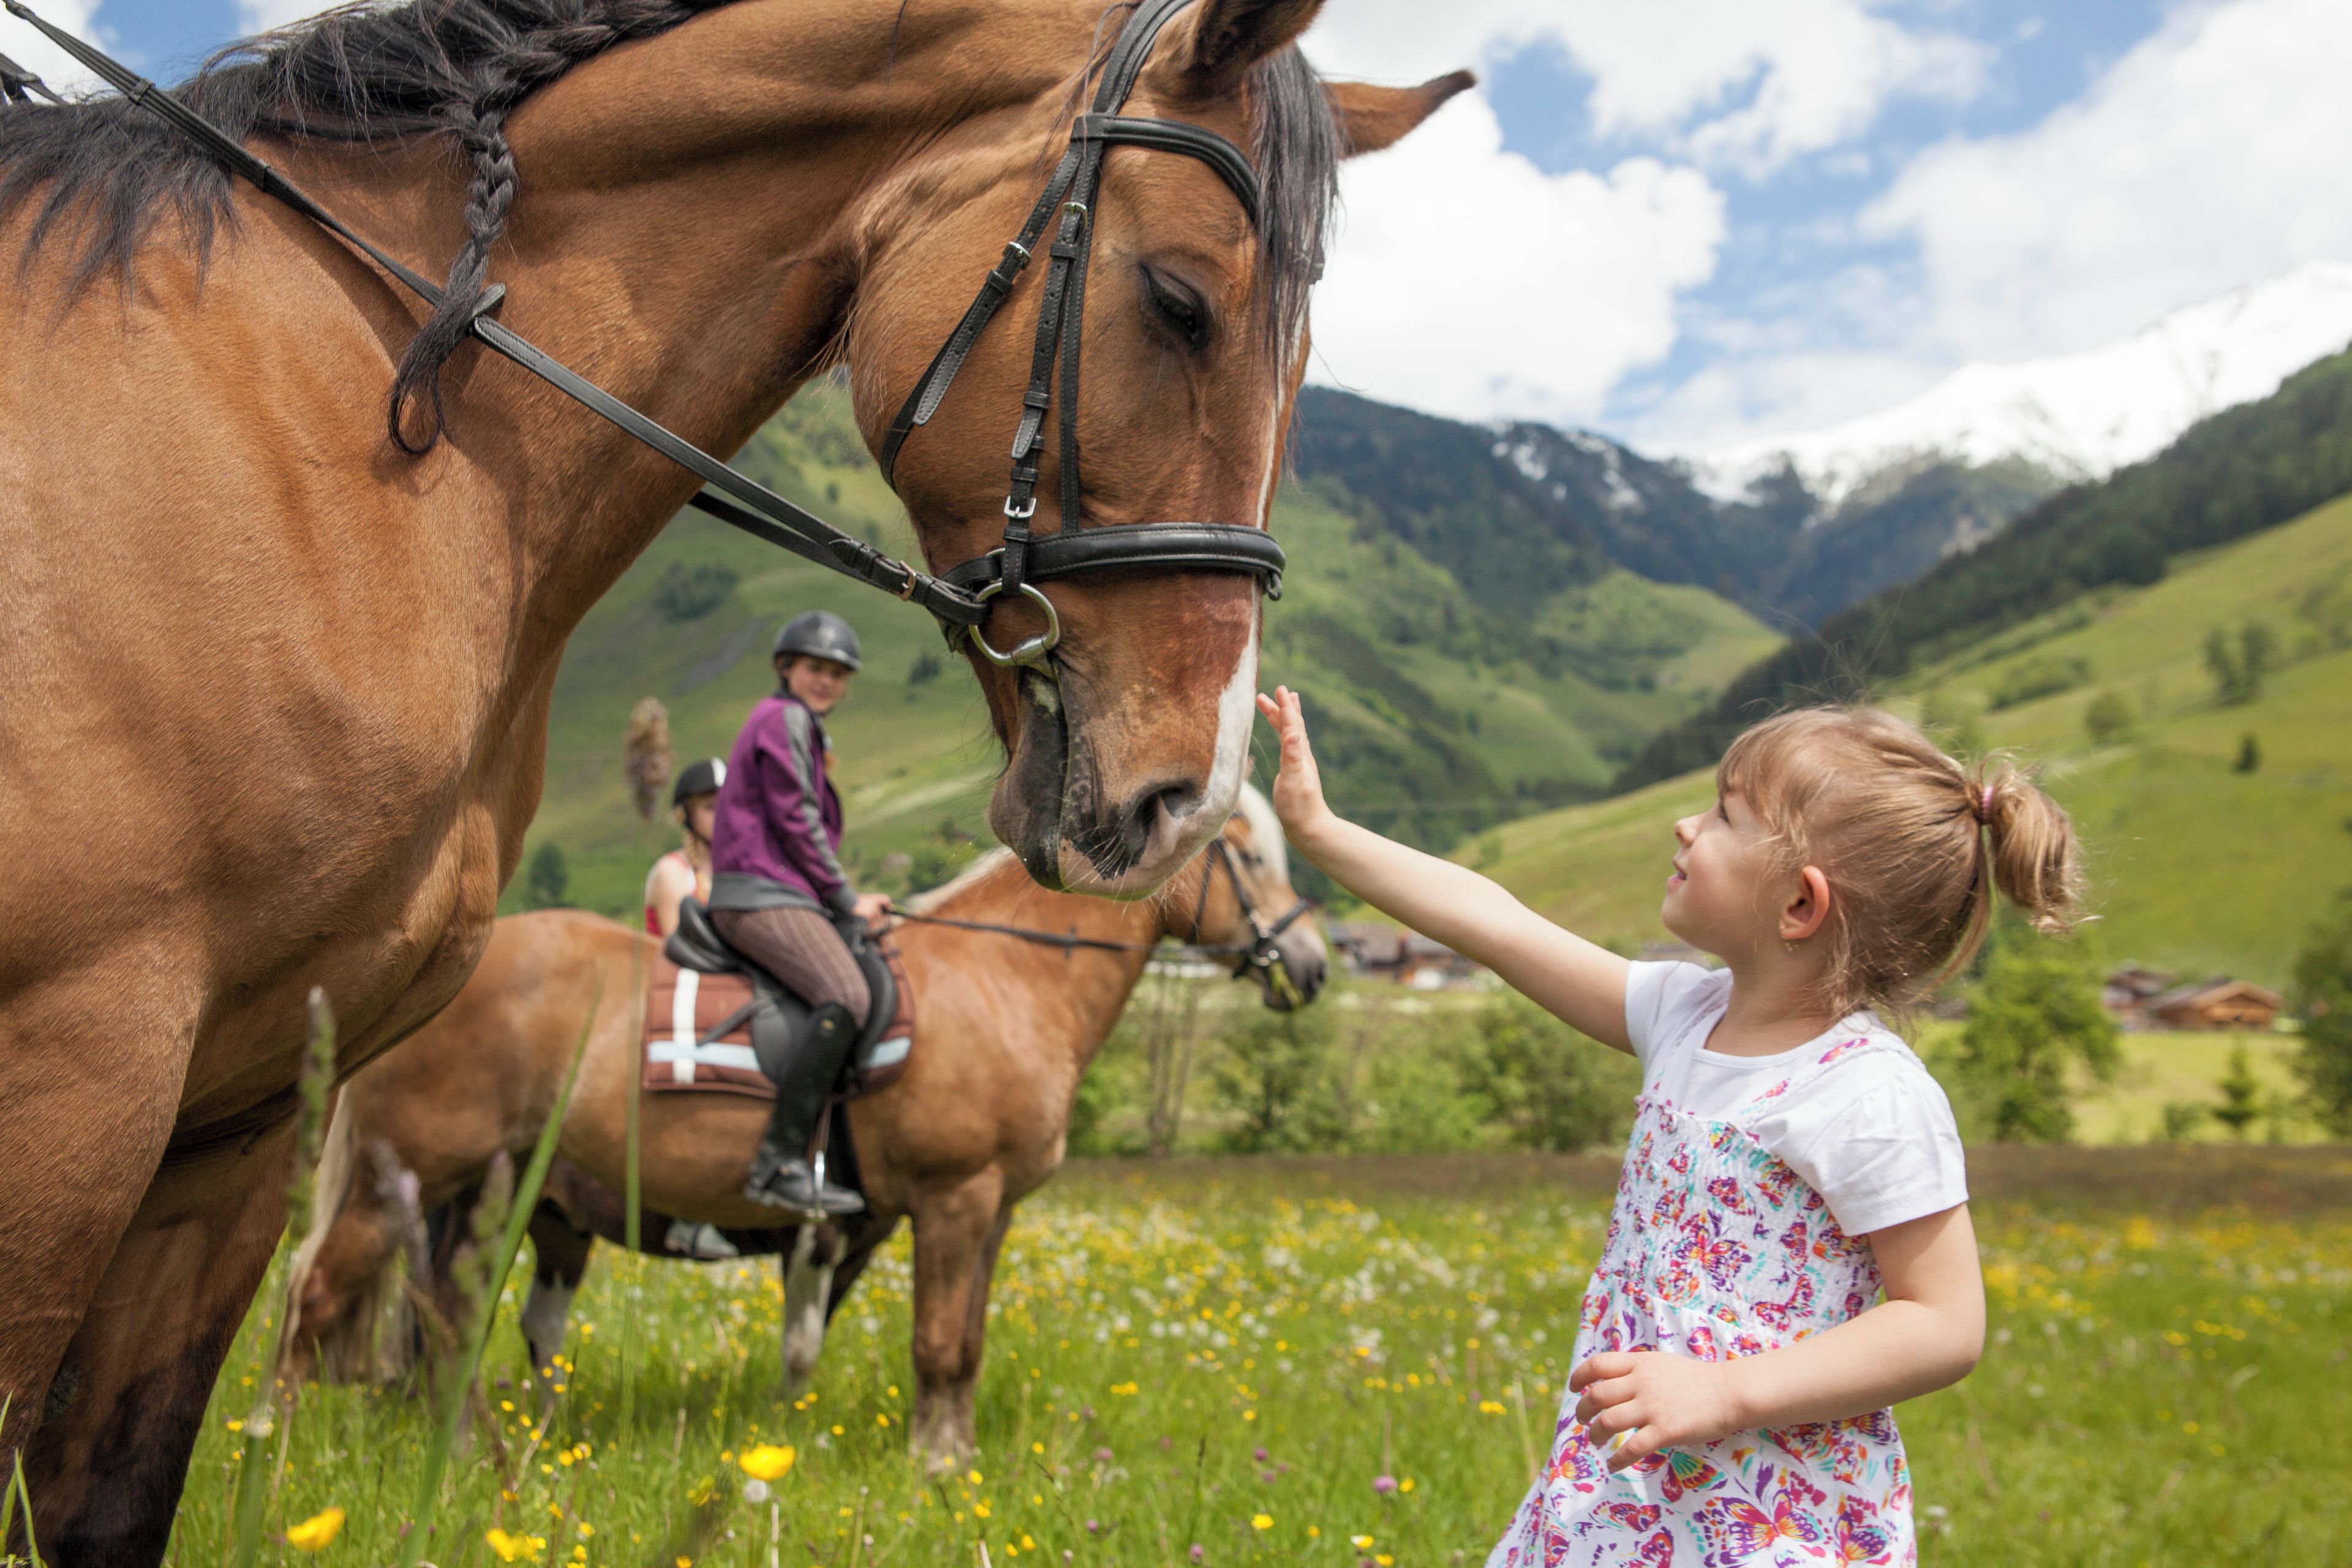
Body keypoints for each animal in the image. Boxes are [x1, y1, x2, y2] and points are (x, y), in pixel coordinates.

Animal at [286, 790, 1324, 1463]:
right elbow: (935, 1343)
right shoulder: (952, 1201)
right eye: (1249, 856)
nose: (1312, 965)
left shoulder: (991, 1213)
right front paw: (933, 1470)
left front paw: (953, 1460)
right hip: (404, 1183)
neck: (1002, 978)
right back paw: (283, 1452)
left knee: (447, 1315)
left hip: (489, 1195)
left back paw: (470, 1452)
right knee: (317, 1297)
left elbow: (965, 1344)